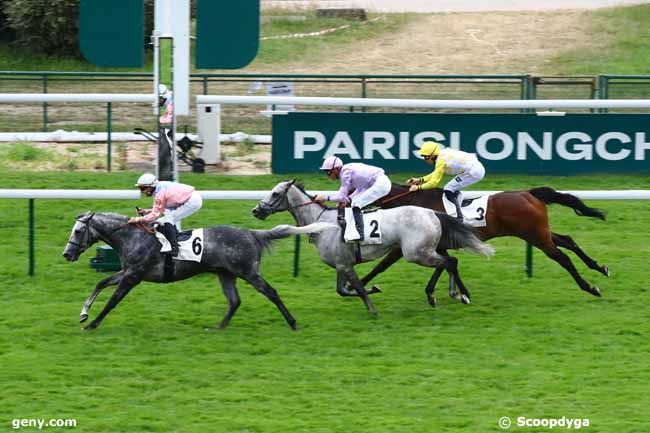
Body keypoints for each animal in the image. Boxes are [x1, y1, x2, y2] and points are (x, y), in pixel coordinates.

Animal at [62, 211, 334, 330]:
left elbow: (113, 301)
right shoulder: (128, 272)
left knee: (271, 292)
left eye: (78, 231)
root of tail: (251, 233)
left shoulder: (133, 276)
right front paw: (84, 314)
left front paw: (92, 324)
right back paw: (218, 327)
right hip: (226, 274)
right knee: (234, 301)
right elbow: (100, 284)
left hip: (249, 272)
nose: (67, 254)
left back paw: (292, 322)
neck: (133, 237)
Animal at [251, 179, 494, 310]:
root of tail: (433, 213)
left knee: (448, 262)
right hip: (425, 250)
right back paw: (456, 293)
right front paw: (371, 289)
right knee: (450, 261)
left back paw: (441, 295)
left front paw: (370, 296)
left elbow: (355, 287)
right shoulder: (342, 264)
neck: (322, 222)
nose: (256, 210)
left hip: (415, 252)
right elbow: (343, 290)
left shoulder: (345, 264)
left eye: (275, 193)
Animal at [364, 184, 608, 298]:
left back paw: (590, 287)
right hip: (538, 232)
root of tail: (529, 193)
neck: (413, 202)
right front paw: (457, 292)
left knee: (563, 257)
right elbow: (449, 265)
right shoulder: (437, 246)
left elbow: (381, 266)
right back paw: (600, 267)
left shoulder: (410, 245)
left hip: (536, 236)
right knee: (567, 240)